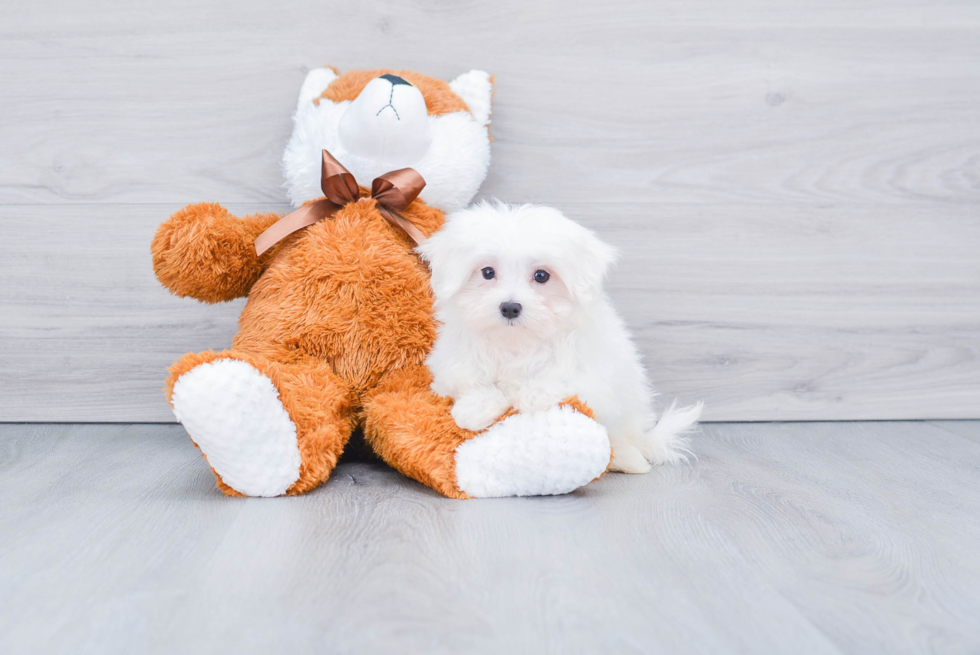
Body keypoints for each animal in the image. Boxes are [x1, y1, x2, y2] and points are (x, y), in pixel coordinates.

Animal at [418, 202, 700, 474]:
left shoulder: (591, 378)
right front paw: (475, 408)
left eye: (541, 275)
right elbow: (471, 382)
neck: (516, 342)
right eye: (487, 272)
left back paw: (631, 461)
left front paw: (530, 395)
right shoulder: (453, 365)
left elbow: (559, 381)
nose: (510, 307)